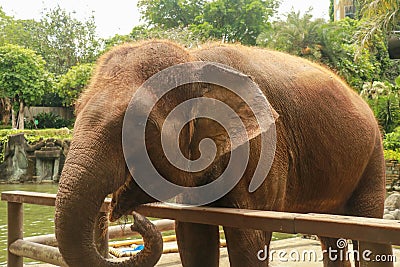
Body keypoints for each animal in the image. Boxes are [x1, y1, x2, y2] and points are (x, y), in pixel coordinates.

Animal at [54, 40, 394, 267]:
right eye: (76, 109)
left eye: (138, 124)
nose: (136, 221)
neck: (194, 59)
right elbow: (193, 236)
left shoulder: (264, 153)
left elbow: (248, 240)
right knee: (331, 236)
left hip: (374, 154)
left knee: (370, 230)